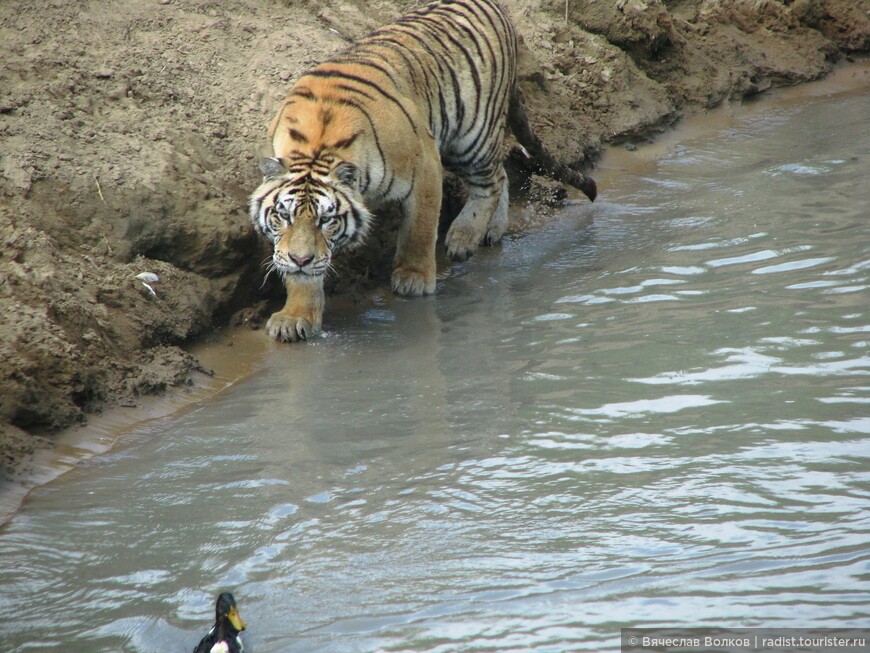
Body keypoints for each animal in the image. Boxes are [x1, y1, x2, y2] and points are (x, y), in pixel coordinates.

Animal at [249, 0, 596, 344]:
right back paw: (492, 230)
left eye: (326, 220)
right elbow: (300, 274)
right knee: (504, 172)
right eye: (284, 216)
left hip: (471, 134)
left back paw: (464, 237)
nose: (301, 259)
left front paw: (413, 278)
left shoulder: (425, 164)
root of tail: (495, 6)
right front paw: (296, 316)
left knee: (491, 181)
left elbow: (420, 229)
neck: (316, 147)